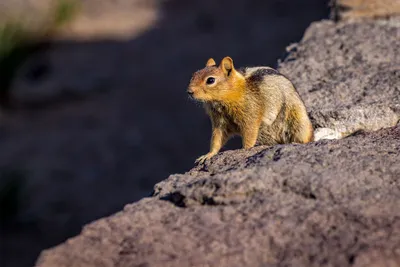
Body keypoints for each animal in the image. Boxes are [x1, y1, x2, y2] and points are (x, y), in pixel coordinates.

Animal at [188, 56, 316, 163]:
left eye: (210, 80)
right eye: (193, 75)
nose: (189, 92)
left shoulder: (250, 116)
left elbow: (249, 135)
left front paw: (245, 150)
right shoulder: (219, 122)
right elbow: (217, 139)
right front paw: (208, 155)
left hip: (299, 123)